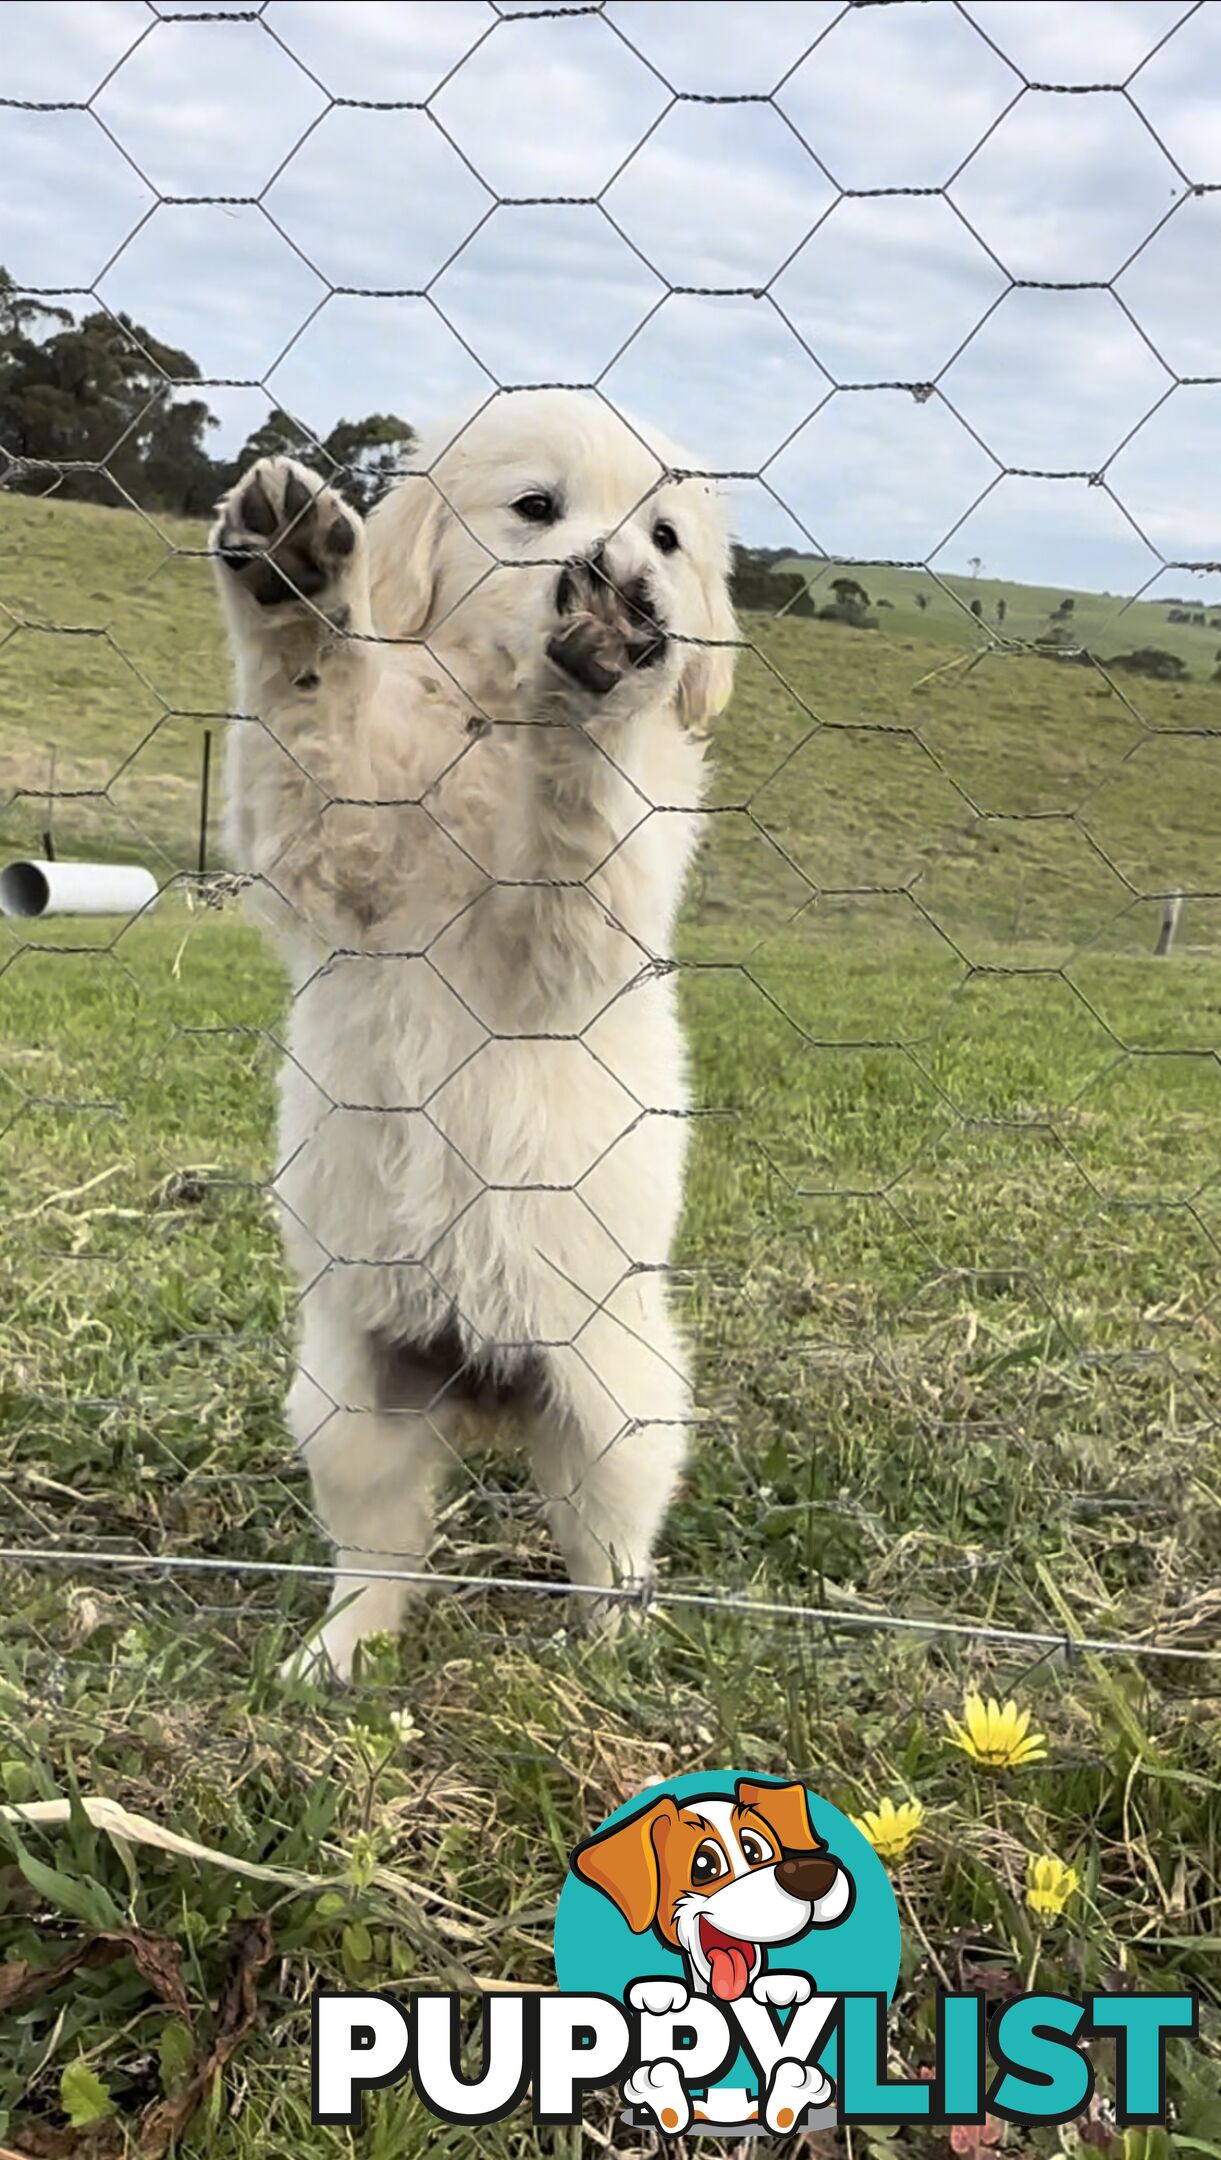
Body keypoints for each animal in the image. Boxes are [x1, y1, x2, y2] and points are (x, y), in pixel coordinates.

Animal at [211, 388, 734, 1676]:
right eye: (535, 508)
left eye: (666, 538)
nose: (620, 579)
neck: (494, 726)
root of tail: (484, 1386)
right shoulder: (342, 861)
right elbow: (310, 715)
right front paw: (296, 580)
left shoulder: (573, 939)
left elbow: (580, 818)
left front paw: (600, 676)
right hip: (349, 1401)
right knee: (382, 1554)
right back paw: (336, 1654)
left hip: (620, 1404)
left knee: (607, 1544)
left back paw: (618, 1648)